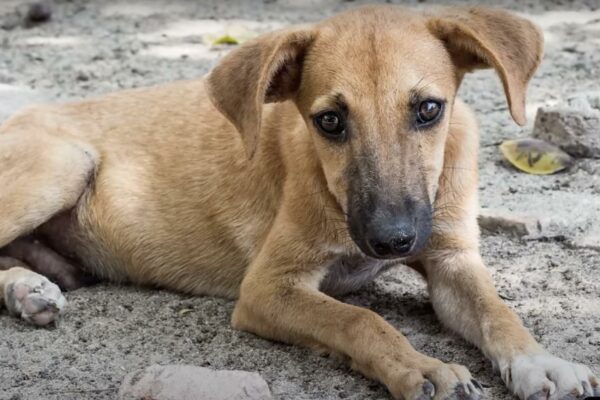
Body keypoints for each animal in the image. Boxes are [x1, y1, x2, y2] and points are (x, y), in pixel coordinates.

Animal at [1, 5, 600, 400]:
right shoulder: (268, 288)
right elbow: (359, 320)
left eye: (429, 109)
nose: (392, 240)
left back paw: (30, 285)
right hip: (63, 164)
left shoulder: (452, 257)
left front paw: (543, 362)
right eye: (329, 121)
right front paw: (421, 368)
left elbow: (498, 311)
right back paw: (26, 289)